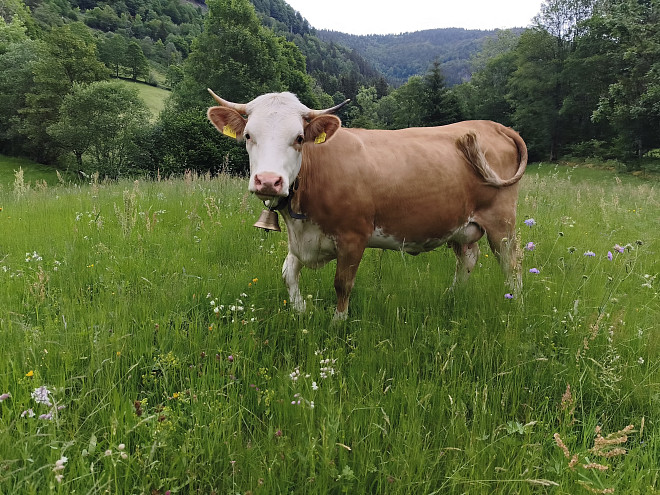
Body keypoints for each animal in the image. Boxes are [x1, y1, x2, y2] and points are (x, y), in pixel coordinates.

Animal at [207, 89, 527, 319]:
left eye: (298, 138)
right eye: (248, 136)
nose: (268, 181)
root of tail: (493, 125)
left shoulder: (353, 236)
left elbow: (342, 284)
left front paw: (338, 324)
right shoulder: (303, 237)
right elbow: (288, 272)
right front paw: (300, 311)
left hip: (501, 222)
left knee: (511, 263)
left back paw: (515, 304)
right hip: (461, 226)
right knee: (468, 259)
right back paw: (452, 297)